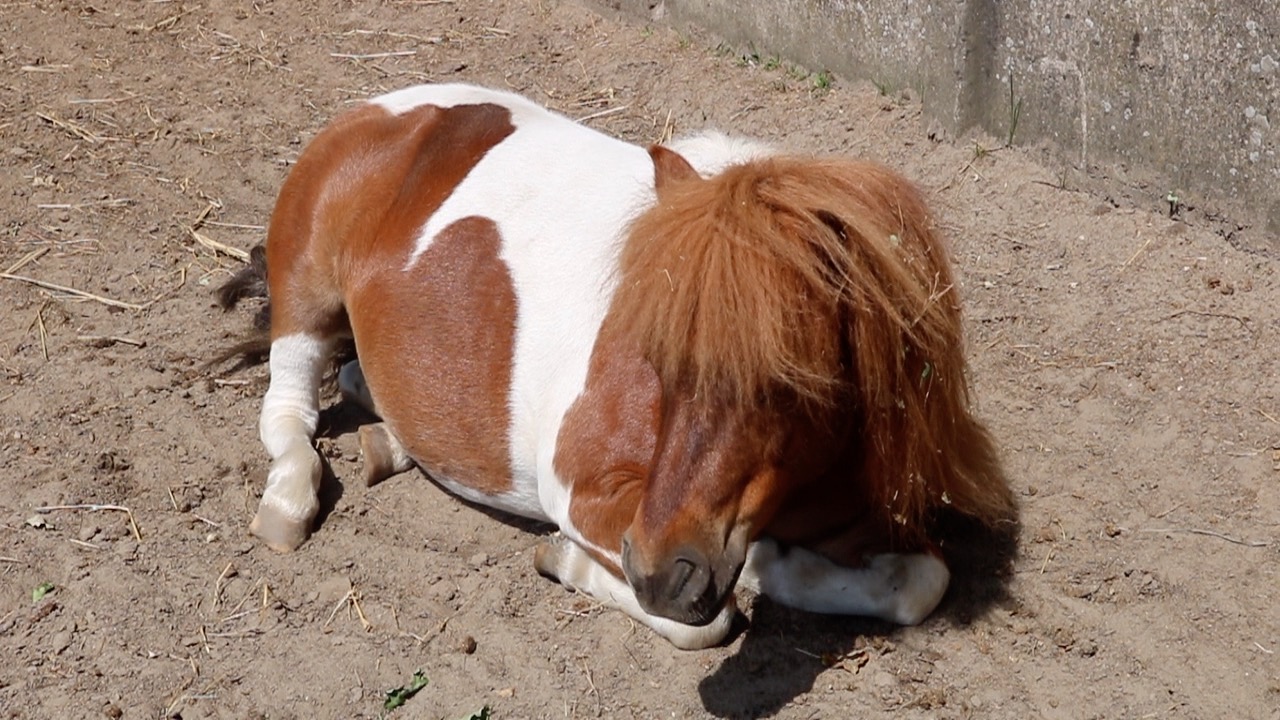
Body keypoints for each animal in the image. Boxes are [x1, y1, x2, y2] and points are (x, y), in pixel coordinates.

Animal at [222, 81, 1018, 648]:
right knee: (288, 410)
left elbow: (919, 583)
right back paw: (288, 501)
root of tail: (378, 111)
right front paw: (575, 562)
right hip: (306, 295)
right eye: (656, 356)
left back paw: (387, 442)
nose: (663, 575)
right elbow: (713, 619)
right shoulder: (585, 492)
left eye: (788, 381)